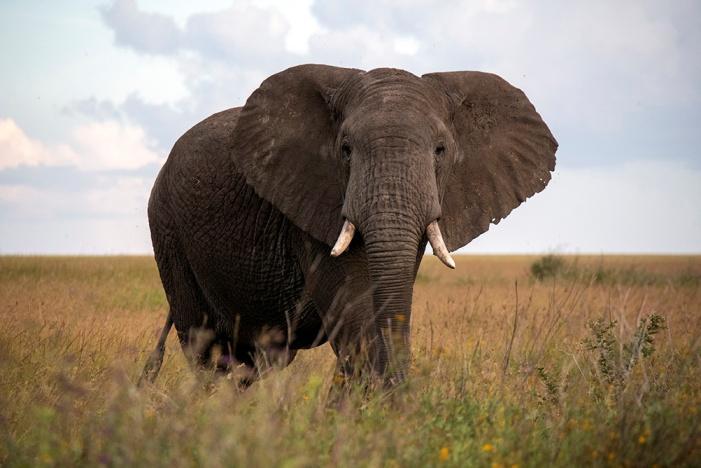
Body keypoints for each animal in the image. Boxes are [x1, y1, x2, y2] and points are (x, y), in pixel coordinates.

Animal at [139, 64, 557, 390]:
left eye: (440, 150)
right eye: (345, 150)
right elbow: (357, 317)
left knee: (250, 364)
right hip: (167, 227)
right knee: (206, 349)